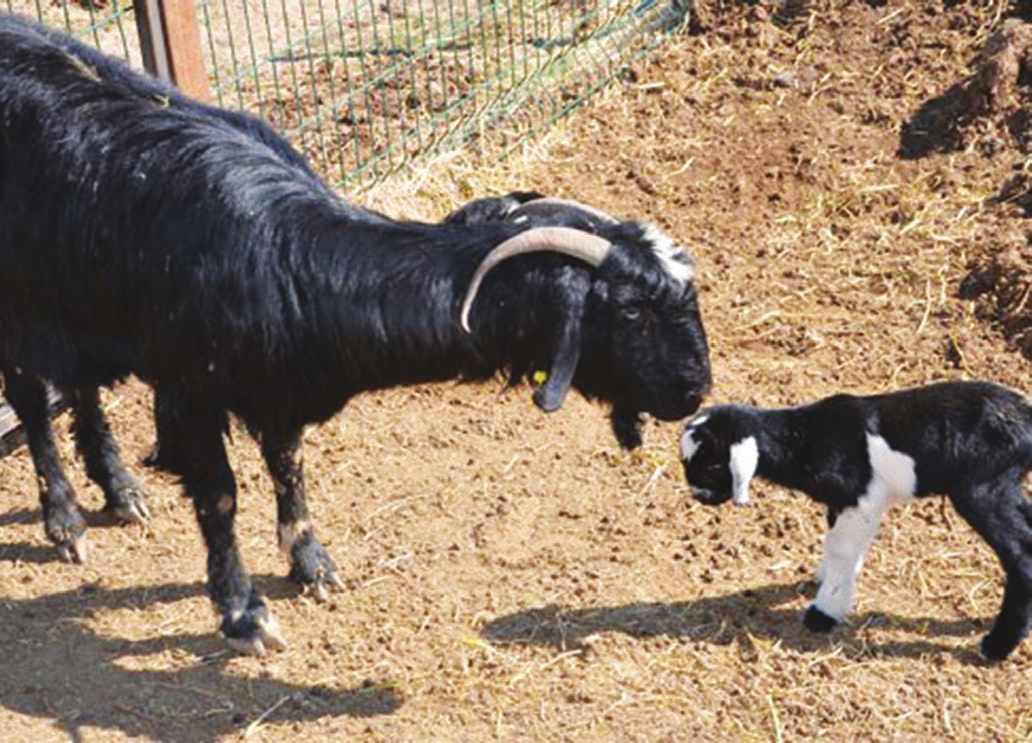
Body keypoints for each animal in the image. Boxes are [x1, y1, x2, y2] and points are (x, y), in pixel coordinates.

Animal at [0, 14, 710, 652]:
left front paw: (311, 563)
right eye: (631, 313)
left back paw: (118, 488)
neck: (282, 259)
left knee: (79, 384)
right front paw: (242, 613)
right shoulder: (189, 391)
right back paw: (64, 517)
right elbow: (221, 498)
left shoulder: (276, 389)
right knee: (32, 399)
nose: (695, 390)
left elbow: (289, 467)